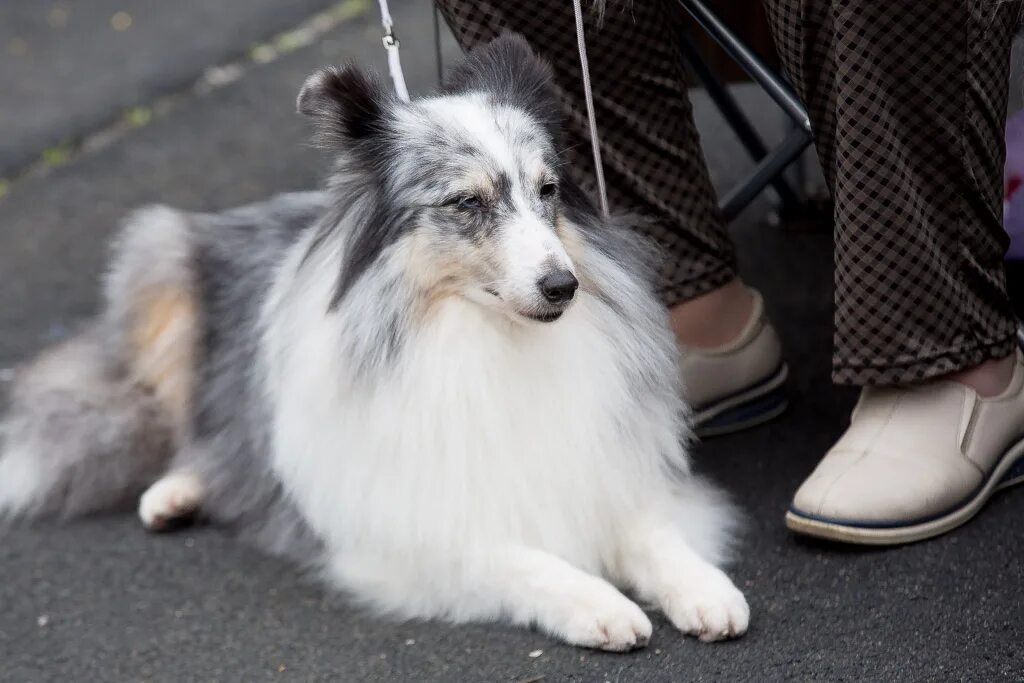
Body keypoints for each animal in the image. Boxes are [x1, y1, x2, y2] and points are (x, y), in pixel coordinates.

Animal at [2, 34, 753, 651]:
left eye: (547, 190)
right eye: (466, 203)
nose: (563, 285)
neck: (480, 339)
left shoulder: (604, 472)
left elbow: (650, 531)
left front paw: (703, 587)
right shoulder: (413, 531)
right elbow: (517, 557)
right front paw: (597, 603)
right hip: (163, 270)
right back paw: (178, 489)